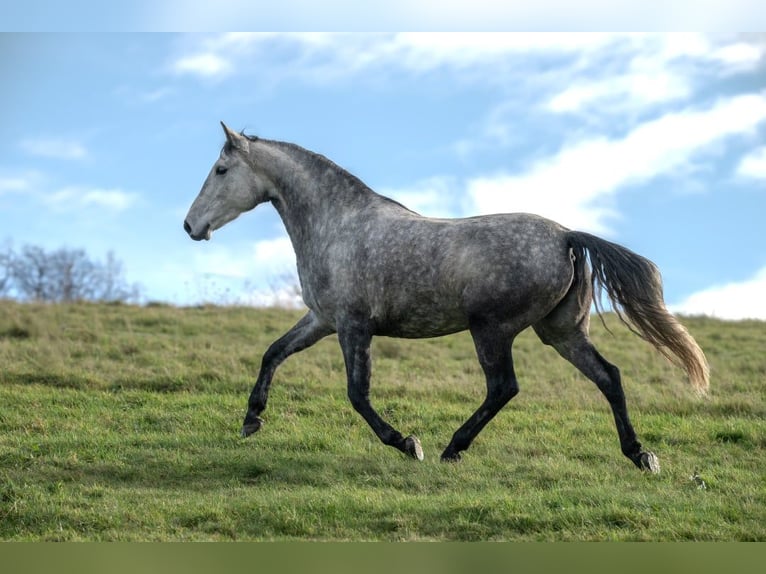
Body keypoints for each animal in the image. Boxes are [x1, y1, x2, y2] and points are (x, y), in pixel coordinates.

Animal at [184, 122, 709, 473]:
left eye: (221, 169)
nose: (191, 226)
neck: (337, 225)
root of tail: (566, 236)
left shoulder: (354, 325)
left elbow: (357, 393)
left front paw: (406, 443)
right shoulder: (322, 319)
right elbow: (273, 353)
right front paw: (251, 420)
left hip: (492, 329)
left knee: (504, 387)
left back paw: (451, 448)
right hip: (559, 331)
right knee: (608, 376)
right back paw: (640, 455)